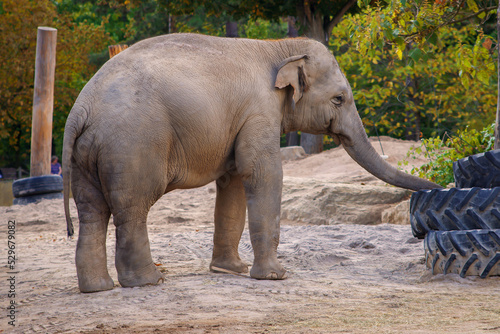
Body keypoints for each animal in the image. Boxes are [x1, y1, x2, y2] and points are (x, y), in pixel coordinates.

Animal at [63, 32, 442, 292]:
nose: (442, 187)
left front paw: (230, 271)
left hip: (88, 154)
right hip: (132, 146)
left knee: (93, 211)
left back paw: (97, 288)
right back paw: (148, 281)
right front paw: (275, 276)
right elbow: (262, 173)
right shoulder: (260, 110)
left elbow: (233, 181)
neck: (279, 47)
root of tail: (81, 108)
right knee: (132, 207)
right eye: (339, 99)